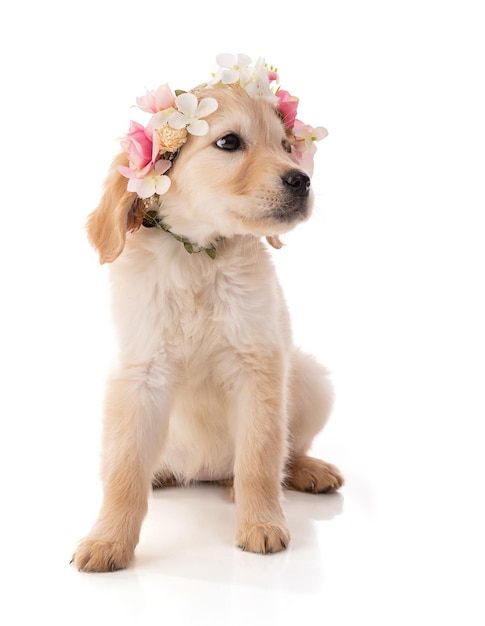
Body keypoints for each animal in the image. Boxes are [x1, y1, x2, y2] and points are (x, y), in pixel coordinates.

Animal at [73, 54, 344, 572]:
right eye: (229, 142)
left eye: (286, 146)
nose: (302, 180)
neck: (198, 257)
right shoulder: (139, 375)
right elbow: (123, 471)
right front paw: (108, 540)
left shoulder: (260, 366)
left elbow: (260, 457)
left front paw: (261, 522)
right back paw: (162, 475)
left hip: (309, 376)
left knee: (282, 452)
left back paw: (302, 471)